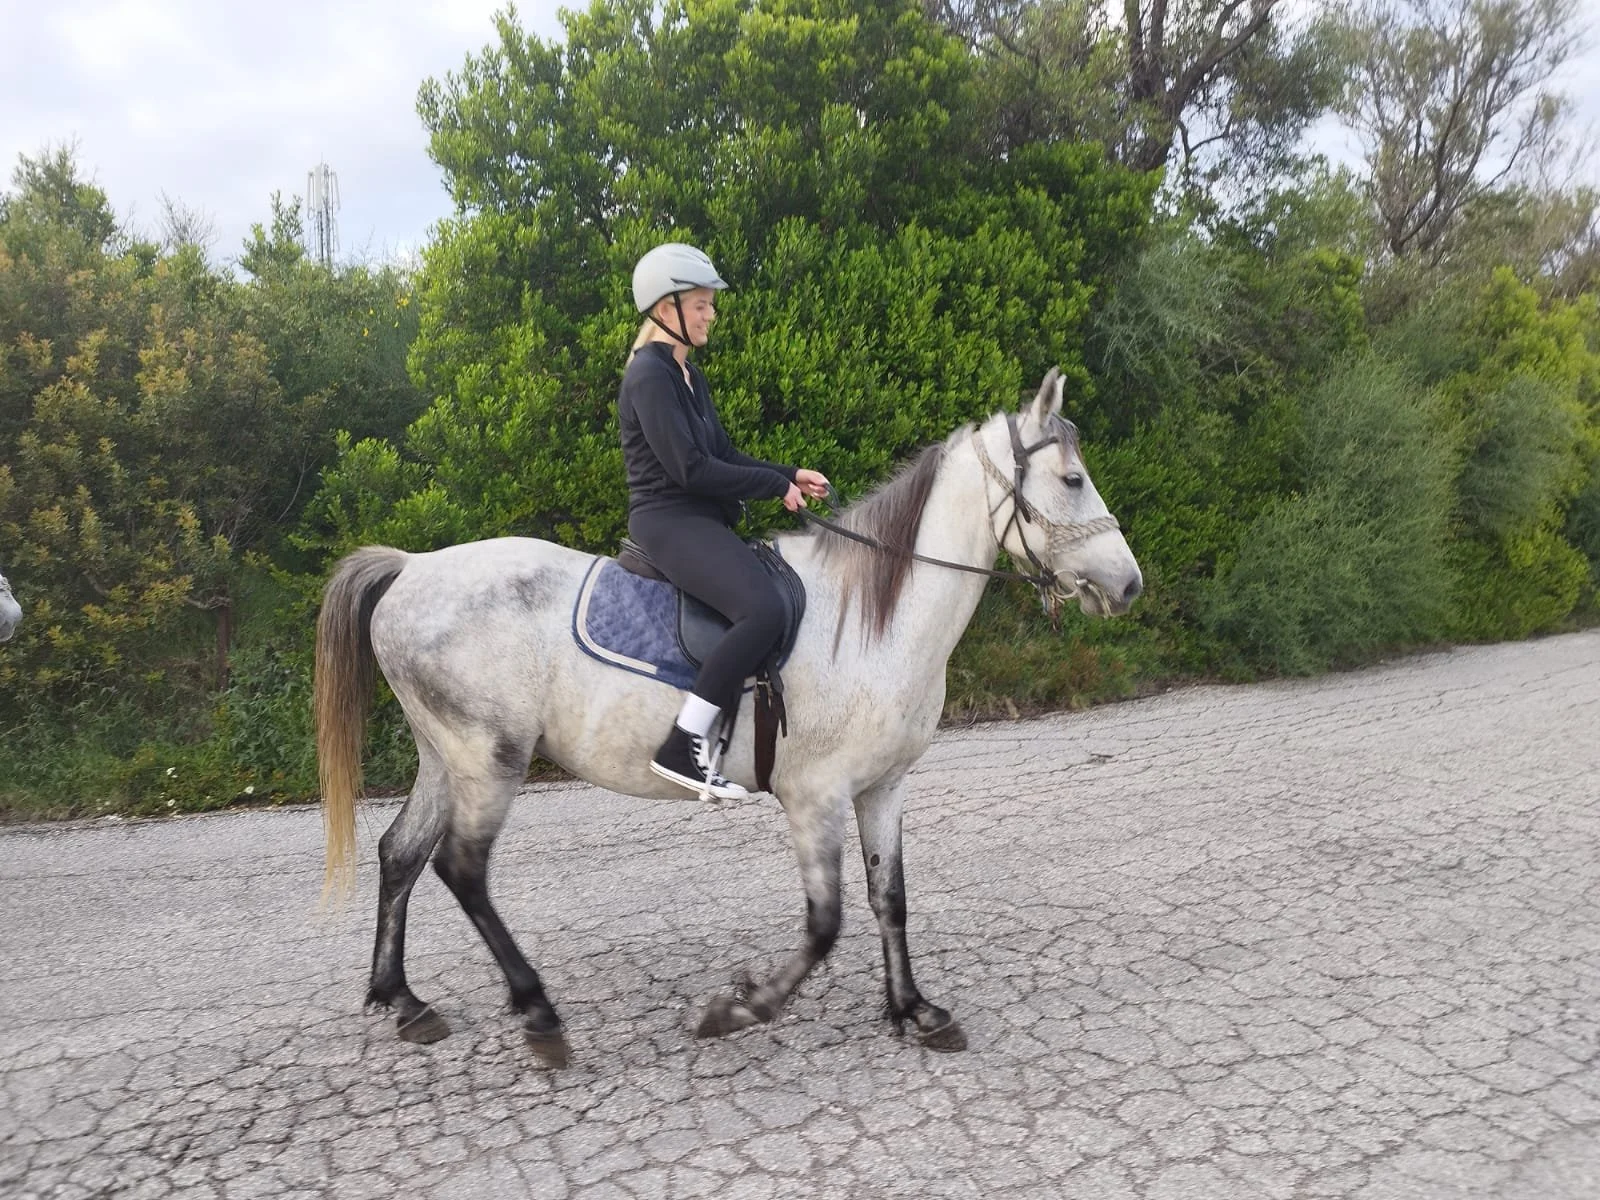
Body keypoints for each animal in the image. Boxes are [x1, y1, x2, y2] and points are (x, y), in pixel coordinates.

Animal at [315, 370, 1143, 1068]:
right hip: (489, 759)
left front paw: (914, 1009)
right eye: (1072, 479)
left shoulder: (882, 788)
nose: (1129, 585)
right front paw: (742, 1008)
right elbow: (825, 923)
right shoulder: (816, 795)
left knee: (400, 853)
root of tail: (413, 567)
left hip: (445, 755)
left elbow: (891, 900)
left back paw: (405, 1002)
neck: (870, 618)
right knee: (461, 869)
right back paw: (538, 1013)